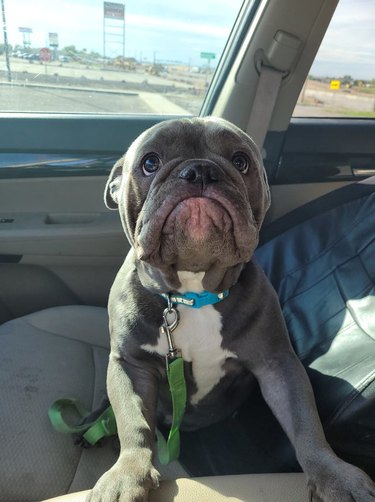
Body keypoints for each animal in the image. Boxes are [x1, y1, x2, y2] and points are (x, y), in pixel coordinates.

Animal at [89, 117, 375, 502]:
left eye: (241, 161)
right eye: (149, 162)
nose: (199, 171)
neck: (192, 294)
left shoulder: (278, 365)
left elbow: (305, 422)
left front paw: (335, 475)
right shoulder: (130, 365)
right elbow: (133, 423)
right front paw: (126, 474)